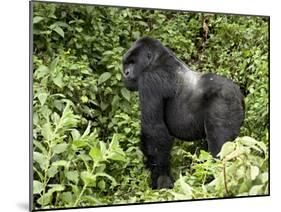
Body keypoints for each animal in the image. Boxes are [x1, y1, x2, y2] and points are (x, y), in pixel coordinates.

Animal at [122, 36, 243, 189]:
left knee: (220, 147)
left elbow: (154, 131)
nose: (125, 73)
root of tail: (239, 95)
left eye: (133, 62)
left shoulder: (150, 80)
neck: (157, 59)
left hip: (225, 102)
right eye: (126, 63)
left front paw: (162, 180)